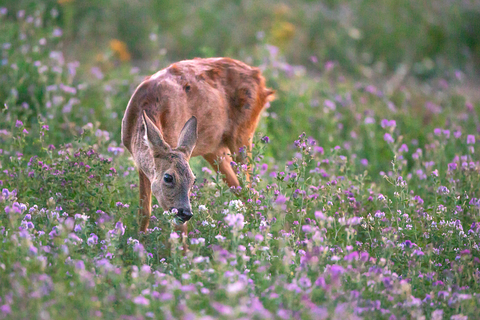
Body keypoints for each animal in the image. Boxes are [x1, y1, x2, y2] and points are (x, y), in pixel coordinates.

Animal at [122, 58, 274, 238]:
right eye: (168, 177)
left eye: (193, 180)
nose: (185, 213)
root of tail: (260, 78)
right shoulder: (141, 164)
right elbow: (144, 212)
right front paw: (139, 242)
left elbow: (179, 228)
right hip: (214, 149)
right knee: (241, 189)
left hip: (243, 135)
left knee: (252, 191)